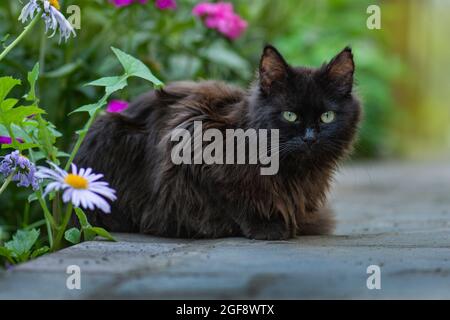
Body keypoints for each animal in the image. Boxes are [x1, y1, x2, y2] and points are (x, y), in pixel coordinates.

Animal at [74, 45, 362, 240]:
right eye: (289, 115)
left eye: (327, 116)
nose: (310, 138)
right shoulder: (193, 143)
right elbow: (233, 198)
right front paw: (267, 227)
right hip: (111, 132)